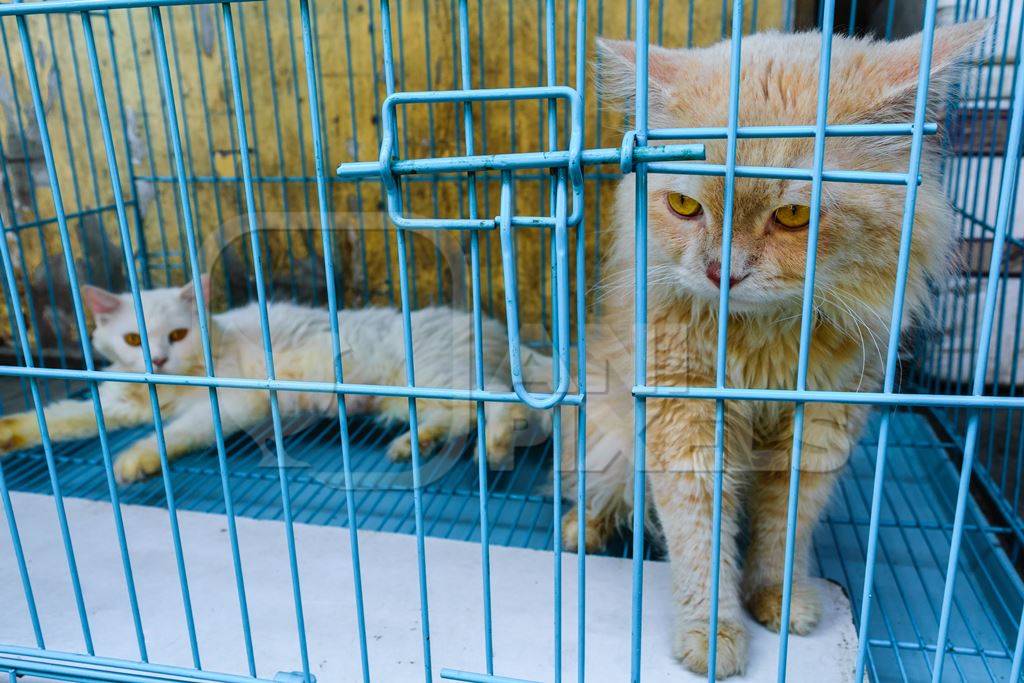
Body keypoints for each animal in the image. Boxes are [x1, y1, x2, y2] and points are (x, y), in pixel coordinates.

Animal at [0, 274, 552, 483]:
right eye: (134, 339)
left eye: (178, 334)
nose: (158, 359)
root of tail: (492, 326)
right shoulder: (115, 403)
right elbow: (60, 418)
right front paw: (9, 433)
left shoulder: (231, 404)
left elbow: (173, 433)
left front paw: (136, 459)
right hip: (410, 398)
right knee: (455, 419)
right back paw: (414, 444)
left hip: (442, 374)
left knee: (501, 403)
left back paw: (495, 448)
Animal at [561, 22, 983, 679]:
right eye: (685, 206)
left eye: (792, 215)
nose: (721, 273)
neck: (763, 341)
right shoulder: (684, 420)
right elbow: (701, 540)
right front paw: (712, 636)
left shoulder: (820, 426)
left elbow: (783, 529)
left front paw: (779, 602)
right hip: (603, 436)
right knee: (601, 488)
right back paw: (581, 530)